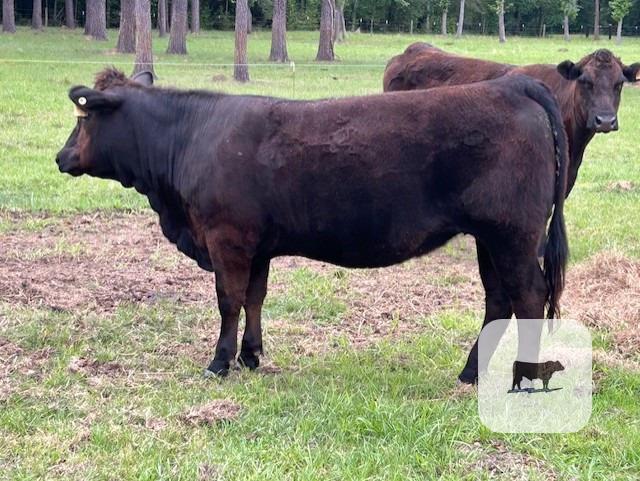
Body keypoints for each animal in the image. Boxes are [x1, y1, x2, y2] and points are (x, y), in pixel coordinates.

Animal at [56, 68, 569, 378]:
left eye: (83, 119)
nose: (61, 157)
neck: (191, 137)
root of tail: (512, 85)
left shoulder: (227, 240)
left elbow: (228, 300)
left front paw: (220, 362)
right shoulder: (257, 246)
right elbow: (254, 298)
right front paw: (251, 355)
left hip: (513, 234)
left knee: (529, 295)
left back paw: (523, 375)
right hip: (490, 237)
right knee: (498, 299)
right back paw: (470, 373)